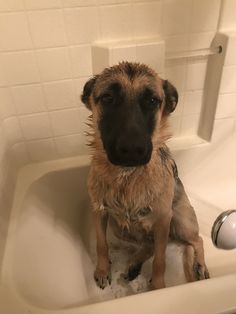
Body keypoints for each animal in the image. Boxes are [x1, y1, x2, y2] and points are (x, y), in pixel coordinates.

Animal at [81, 61, 210, 290]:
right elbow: (101, 244)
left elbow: (160, 260)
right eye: (108, 98)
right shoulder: (99, 212)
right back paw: (134, 265)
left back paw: (200, 265)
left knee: (197, 240)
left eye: (152, 101)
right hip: (119, 227)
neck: (127, 178)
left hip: (179, 222)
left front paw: (158, 286)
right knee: (148, 244)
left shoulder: (163, 220)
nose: (132, 149)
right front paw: (103, 269)